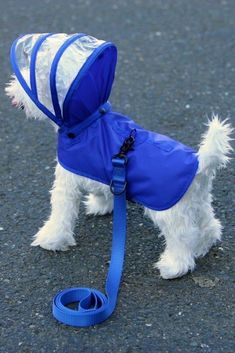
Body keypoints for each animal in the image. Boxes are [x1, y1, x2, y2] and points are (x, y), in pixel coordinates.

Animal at [5, 34, 233, 280]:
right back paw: (203, 246)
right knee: (209, 225)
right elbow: (100, 190)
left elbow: (60, 213)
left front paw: (51, 239)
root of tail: (200, 162)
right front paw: (100, 205)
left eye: (34, 79)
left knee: (182, 238)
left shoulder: (66, 182)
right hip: (197, 201)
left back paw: (174, 266)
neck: (87, 122)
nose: (10, 91)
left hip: (169, 211)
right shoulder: (101, 172)